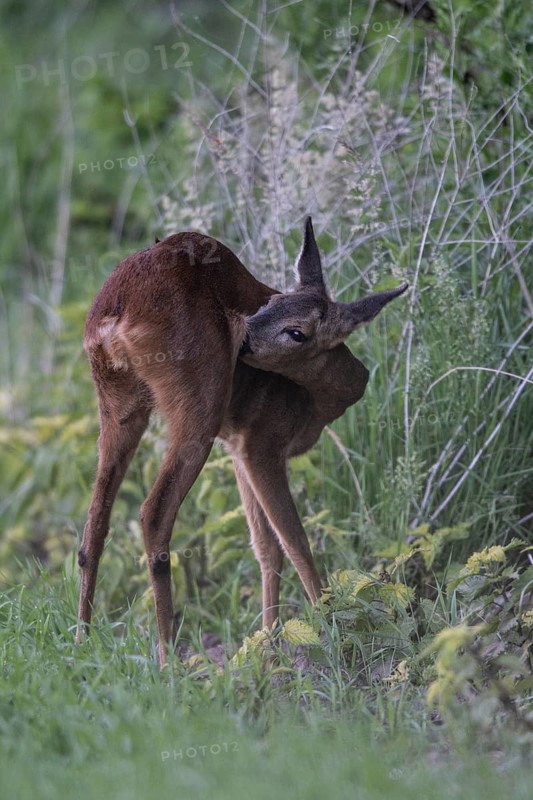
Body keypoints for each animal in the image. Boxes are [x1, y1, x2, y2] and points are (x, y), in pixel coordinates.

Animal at [76, 217, 407, 665]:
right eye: (269, 304)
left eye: (296, 330)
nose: (243, 338)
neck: (318, 399)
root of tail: (115, 313)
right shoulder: (261, 443)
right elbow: (295, 541)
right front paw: (336, 631)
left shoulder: (237, 447)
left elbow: (266, 546)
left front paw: (268, 646)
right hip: (197, 407)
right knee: (154, 513)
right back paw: (169, 661)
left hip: (118, 405)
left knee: (95, 521)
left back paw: (81, 645)